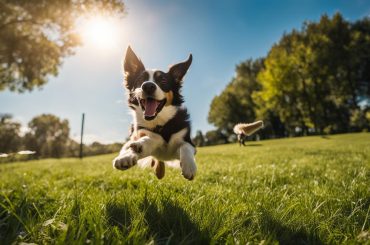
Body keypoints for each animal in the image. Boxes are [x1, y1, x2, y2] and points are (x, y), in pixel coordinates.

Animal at [112, 46, 198, 180]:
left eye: (163, 81)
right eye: (141, 80)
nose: (148, 86)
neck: (160, 124)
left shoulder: (188, 142)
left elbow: (185, 146)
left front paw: (189, 166)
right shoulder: (141, 132)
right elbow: (151, 138)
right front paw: (129, 153)